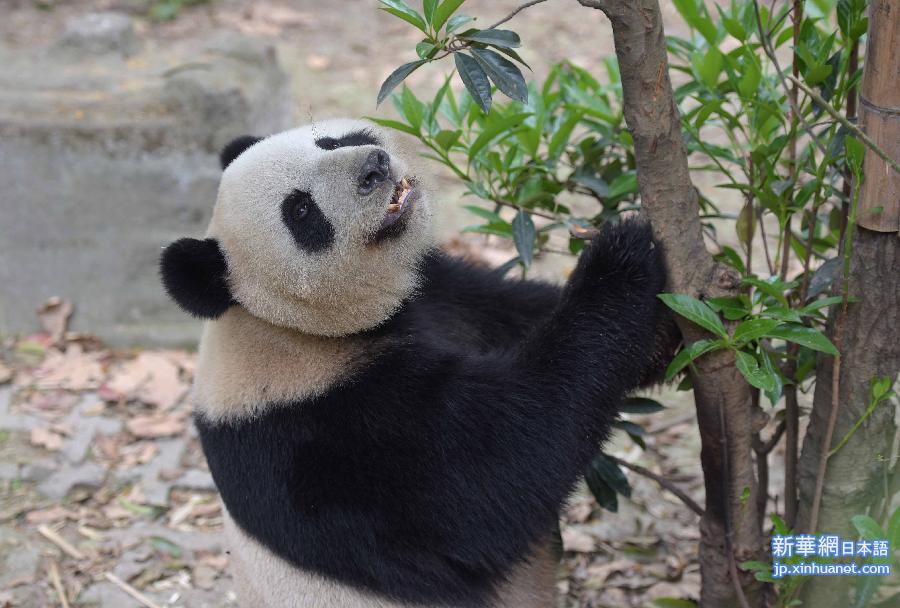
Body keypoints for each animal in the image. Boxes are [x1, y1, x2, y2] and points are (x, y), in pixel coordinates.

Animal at [158, 119, 672, 608]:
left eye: (329, 142)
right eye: (301, 211)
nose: (374, 168)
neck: (277, 323)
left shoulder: (436, 291)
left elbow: (511, 309)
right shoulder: (321, 432)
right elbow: (497, 470)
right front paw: (622, 257)